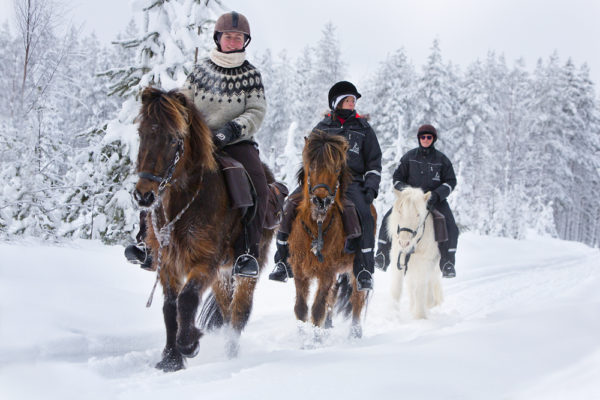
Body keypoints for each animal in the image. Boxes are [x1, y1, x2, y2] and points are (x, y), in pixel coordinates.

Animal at [133, 87, 274, 372]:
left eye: (173, 139)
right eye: (141, 133)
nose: (144, 195)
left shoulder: (205, 260)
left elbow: (187, 300)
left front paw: (189, 344)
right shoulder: (168, 263)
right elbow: (170, 307)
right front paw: (171, 358)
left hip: (244, 269)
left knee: (238, 313)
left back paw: (231, 354)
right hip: (223, 275)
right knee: (226, 308)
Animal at [286, 132, 370, 338]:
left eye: (337, 168)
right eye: (312, 165)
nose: (320, 200)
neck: (317, 226)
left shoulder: (327, 272)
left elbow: (317, 309)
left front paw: (315, 340)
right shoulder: (299, 271)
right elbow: (301, 308)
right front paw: (303, 337)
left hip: (355, 270)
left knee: (357, 298)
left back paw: (355, 332)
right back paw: (329, 325)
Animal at [386, 188, 442, 318]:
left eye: (418, 214)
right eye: (400, 211)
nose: (404, 242)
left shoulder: (424, 265)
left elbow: (420, 290)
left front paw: (420, 316)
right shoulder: (398, 262)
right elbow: (396, 289)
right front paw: (392, 314)